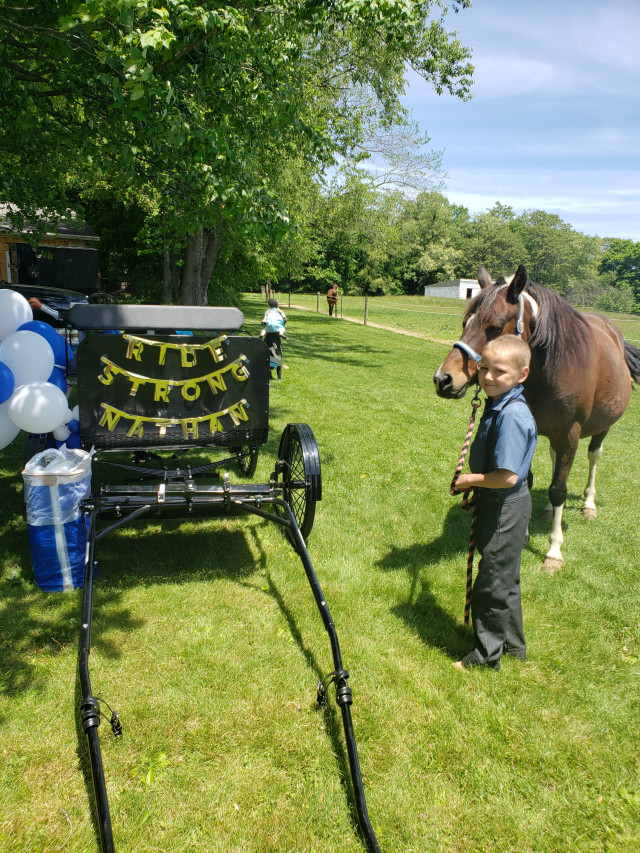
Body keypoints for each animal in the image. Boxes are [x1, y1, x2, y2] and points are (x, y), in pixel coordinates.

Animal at [432, 264, 636, 572]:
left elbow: (559, 489)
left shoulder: (570, 434)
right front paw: (524, 533)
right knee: (554, 460)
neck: (553, 368)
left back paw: (588, 504)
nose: (443, 379)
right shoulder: (531, 429)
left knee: (593, 456)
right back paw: (549, 511)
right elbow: (525, 481)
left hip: (602, 426)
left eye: (494, 327)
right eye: (465, 323)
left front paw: (554, 552)